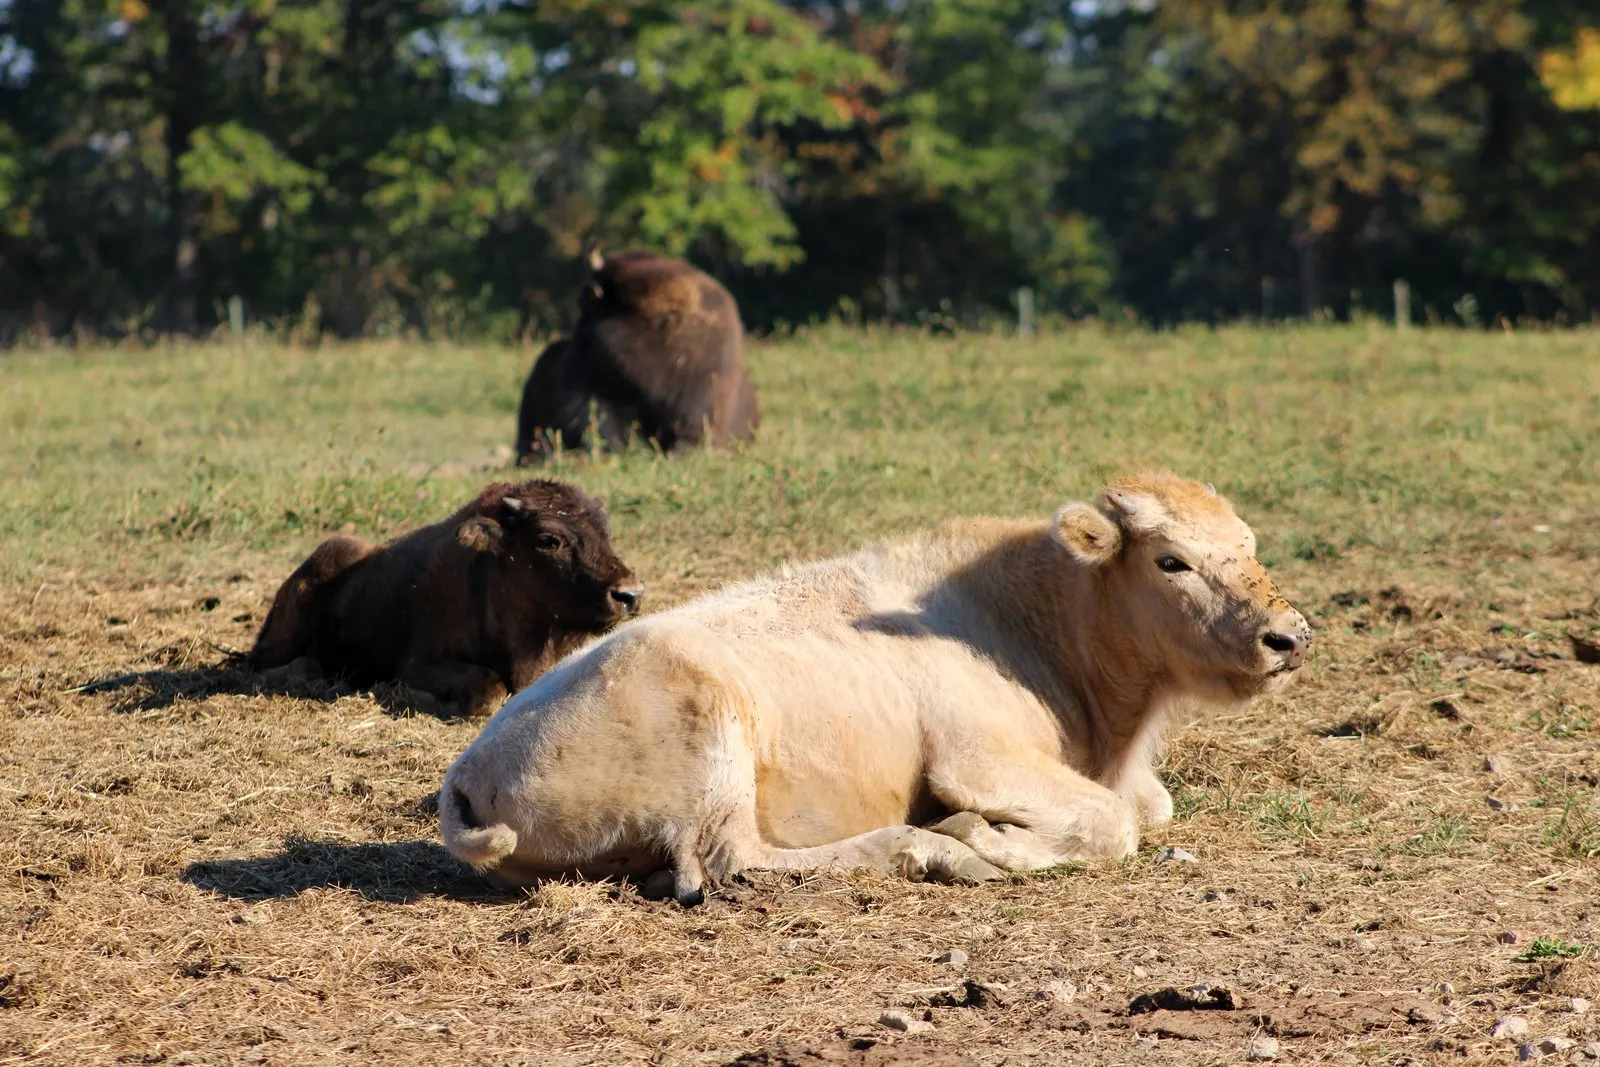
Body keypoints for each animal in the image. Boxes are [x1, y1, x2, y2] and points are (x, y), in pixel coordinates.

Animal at [438, 472, 1312, 902]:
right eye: (1171, 560)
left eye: (1247, 543)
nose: (1290, 636)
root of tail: (468, 773)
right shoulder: (980, 759)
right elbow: (1113, 822)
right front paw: (979, 837)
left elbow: (1148, 808)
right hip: (717, 741)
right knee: (726, 862)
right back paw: (933, 849)